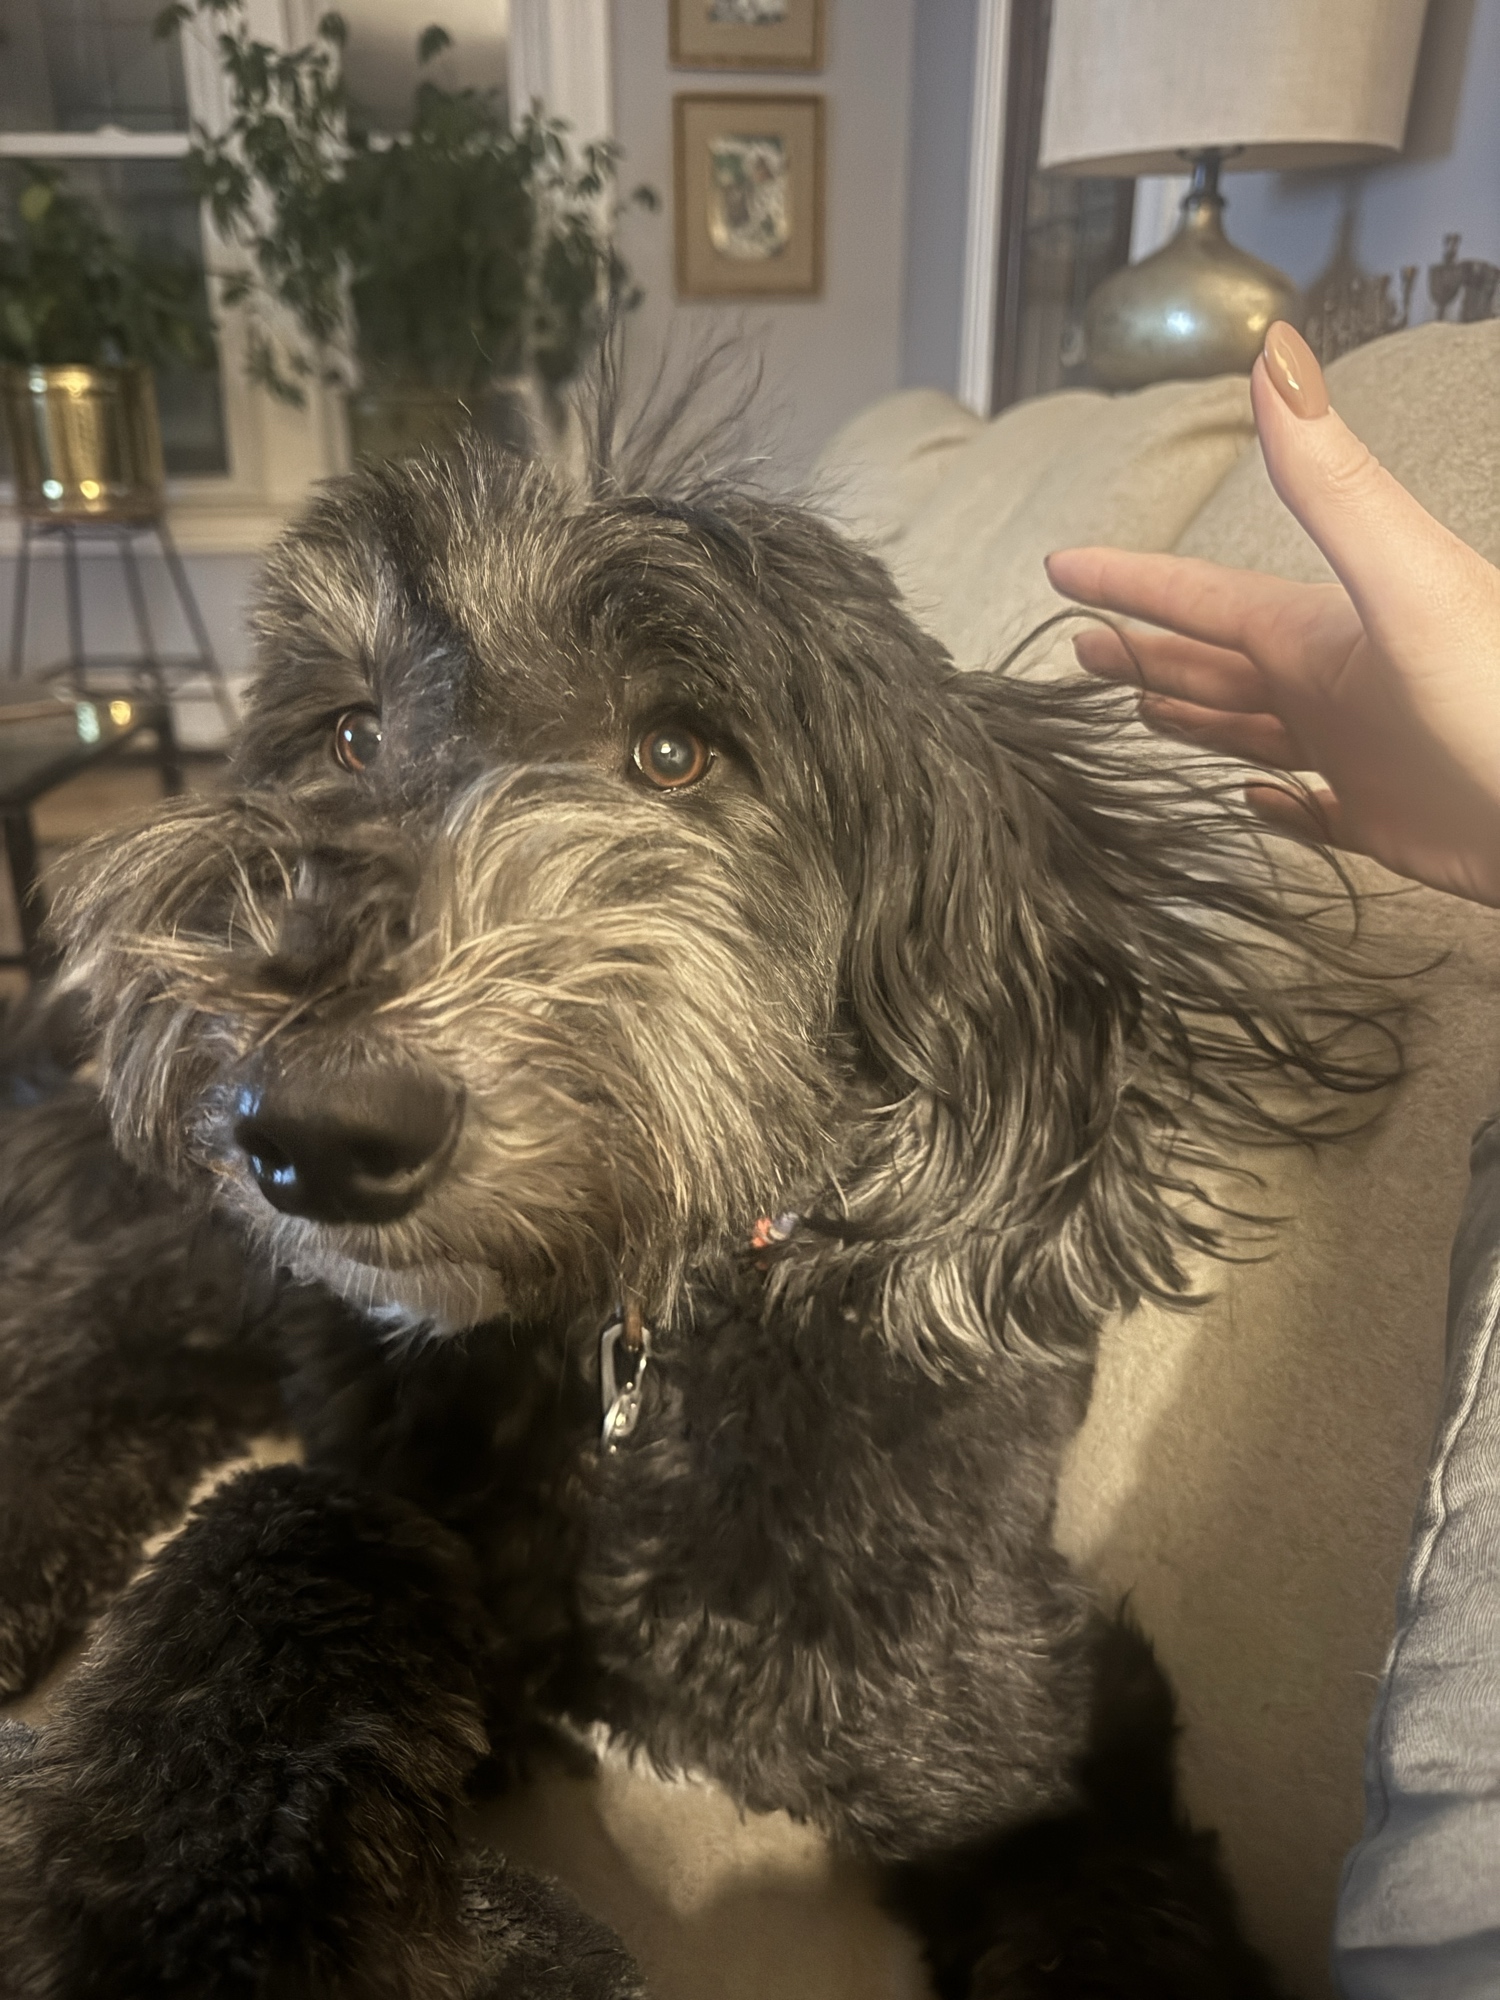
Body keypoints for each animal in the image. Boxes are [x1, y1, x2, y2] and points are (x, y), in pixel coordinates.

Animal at [0, 420, 1391, 1998]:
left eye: (676, 754)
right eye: (352, 734)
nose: (306, 1130)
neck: (636, 1326)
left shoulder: (995, 1734)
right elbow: (280, 1558)